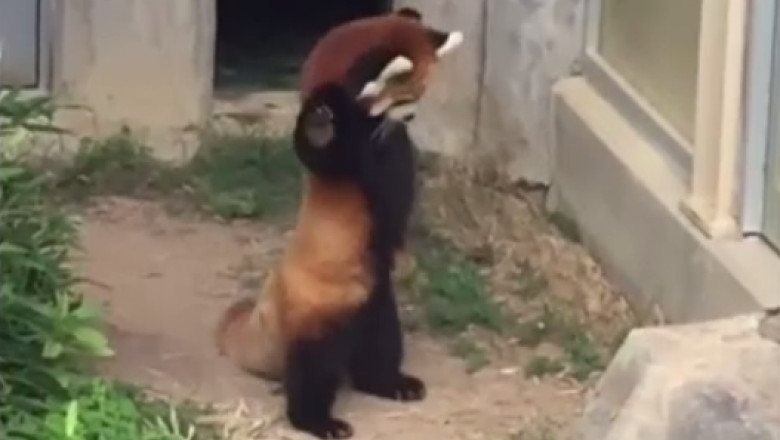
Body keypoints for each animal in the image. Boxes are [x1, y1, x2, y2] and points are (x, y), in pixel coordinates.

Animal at [215, 8, 463, 439]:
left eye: (419, 96)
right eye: (407, 97)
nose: (411, 116)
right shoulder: (340, 153)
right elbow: (319, 145)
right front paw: (322, 118)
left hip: (377, 302)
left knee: (380, 349)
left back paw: (390, 382)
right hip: (318, 319)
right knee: (313, 374)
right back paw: (318, 420)